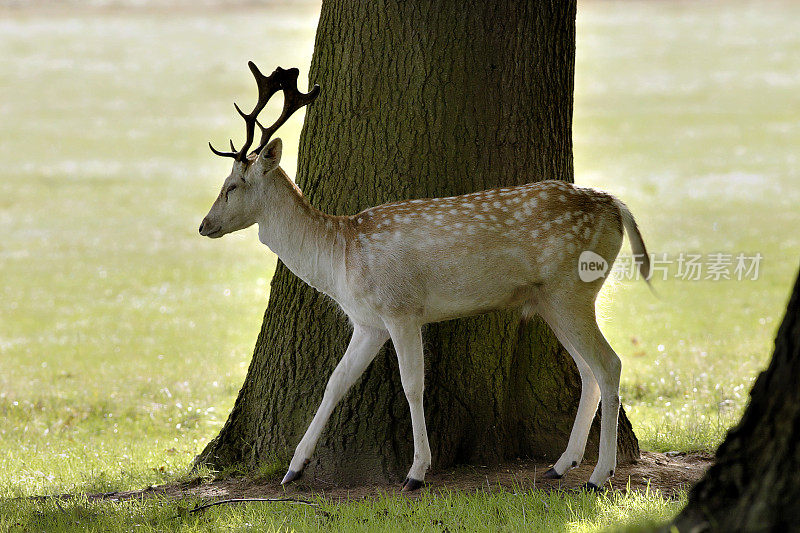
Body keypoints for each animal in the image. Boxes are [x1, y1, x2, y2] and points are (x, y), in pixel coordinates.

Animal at [198, 62, 648, 490]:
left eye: (232, 185)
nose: (204, 225)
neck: (339, 259)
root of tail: (617, 207)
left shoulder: (401, 309)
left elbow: (413, 385)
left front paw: (416, 472)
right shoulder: (368, 323)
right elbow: (336, 382)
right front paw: (293, 468)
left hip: (573, 289)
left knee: (609, 364)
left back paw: (598, 476)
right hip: (550, 301)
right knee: (589, 372)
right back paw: (560, 465)